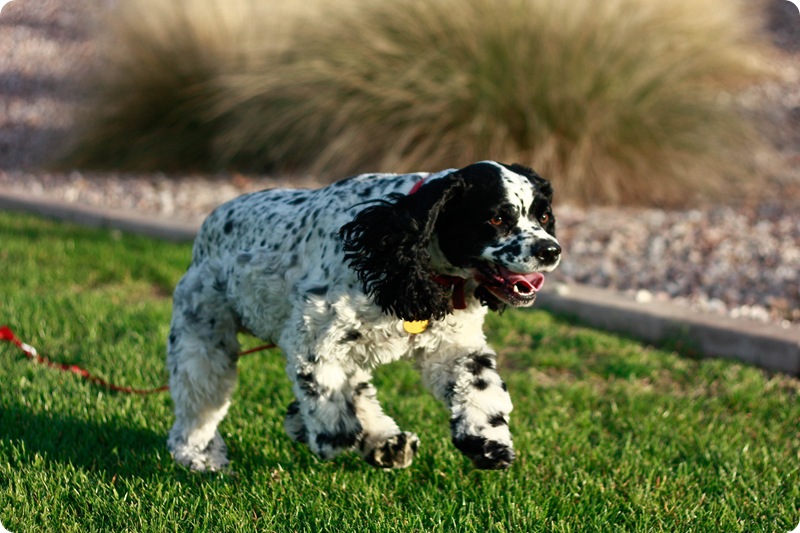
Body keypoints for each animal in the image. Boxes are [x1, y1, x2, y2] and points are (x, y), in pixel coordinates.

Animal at [166, 160, 560, 472]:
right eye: (497, 218)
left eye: (543, 216)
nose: (551, 250)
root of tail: (209, 224)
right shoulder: (314, 340)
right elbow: (331, 415)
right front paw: (313, 430)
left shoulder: (452, 347)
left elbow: (479, 386)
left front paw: (487, 442)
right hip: (203, 335)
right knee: (198, 401)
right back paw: (199, 456)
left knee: (358, 389)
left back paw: (387, 444)